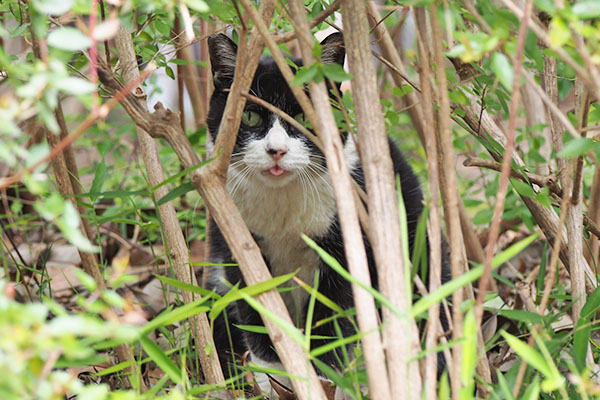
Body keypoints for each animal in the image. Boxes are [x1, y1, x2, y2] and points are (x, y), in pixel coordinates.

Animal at [205, 32, 446, 390]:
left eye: (305, 117)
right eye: (249, 117)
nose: (277, 151)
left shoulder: (348, 245)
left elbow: (330, 318)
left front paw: (322, 379)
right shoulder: (236, 240)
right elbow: (257, 309)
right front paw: (273, 376)